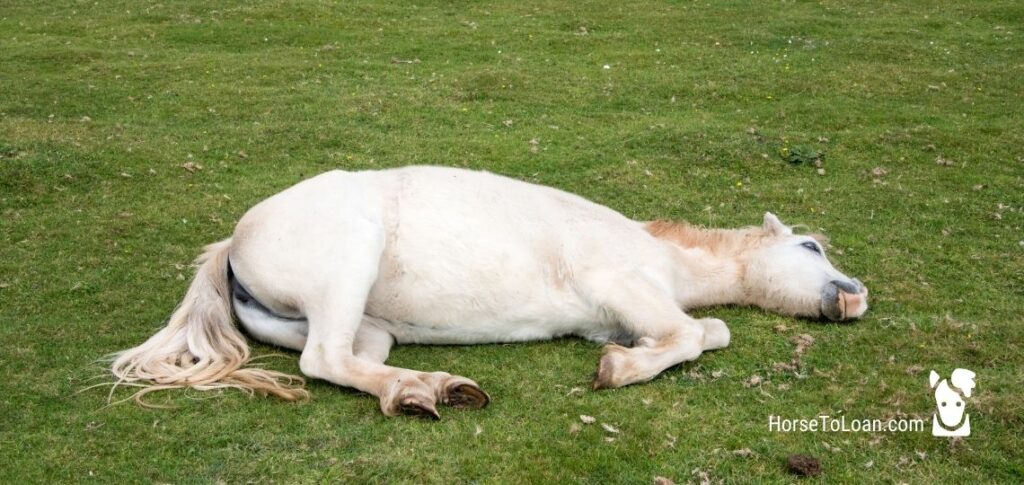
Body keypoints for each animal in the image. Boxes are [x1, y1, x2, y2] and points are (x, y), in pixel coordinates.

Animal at [112, 165, 868, 417]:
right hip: (348, 261)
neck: (659, 254)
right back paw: (425, 391)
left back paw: (426, 389)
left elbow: (707, 331)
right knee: (321, 360)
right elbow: (689, 333)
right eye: (811, 246)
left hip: (360, 323)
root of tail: (234, 242)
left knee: (352, 358)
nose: (855, 295)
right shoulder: (620, 284)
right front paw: (618, 369)